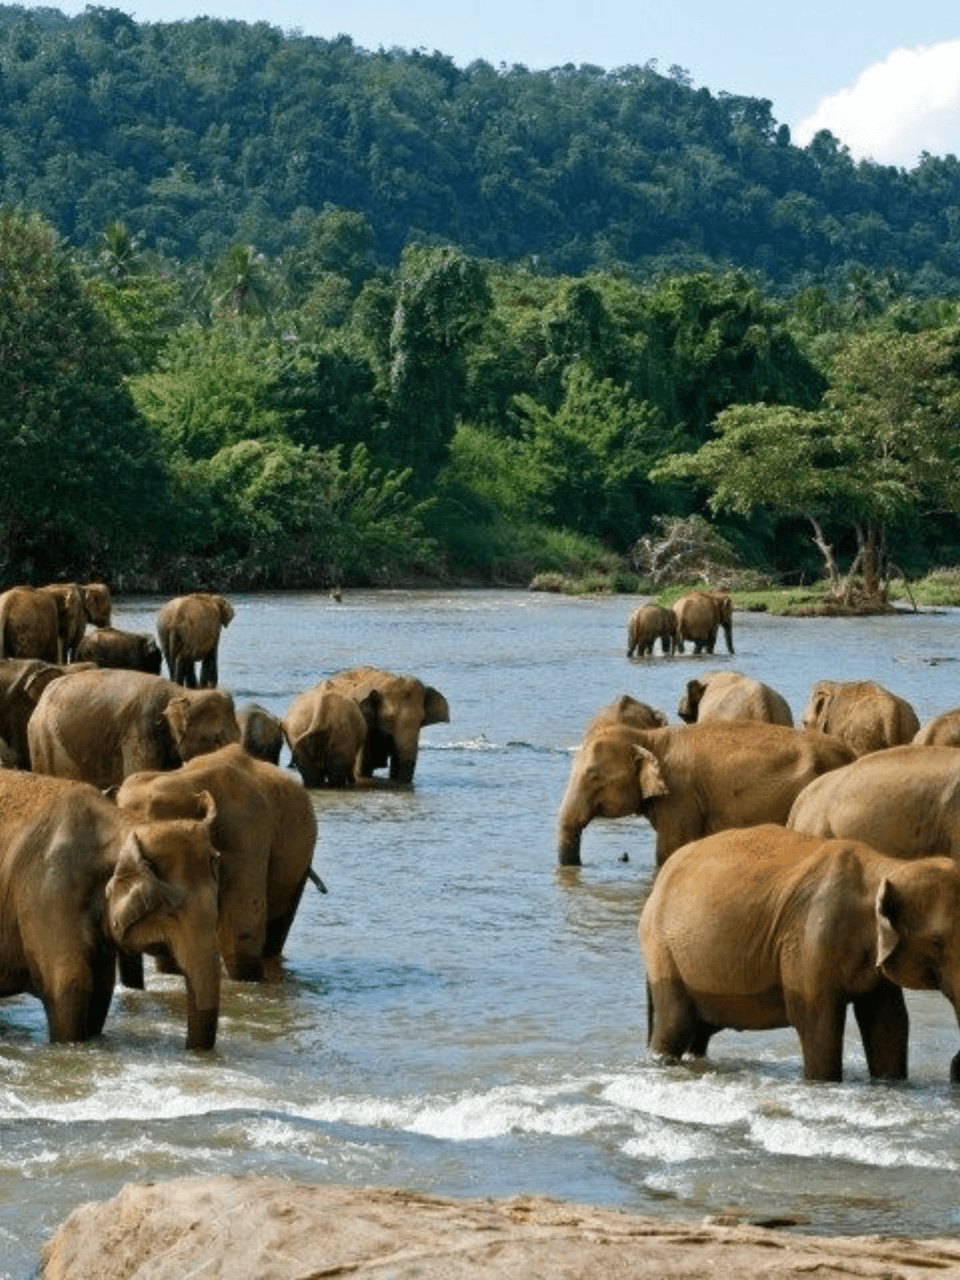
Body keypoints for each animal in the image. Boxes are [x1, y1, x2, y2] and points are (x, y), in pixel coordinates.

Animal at [556, 719, 854, 866]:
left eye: (593, 776)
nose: (577, 866)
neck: (649, 737)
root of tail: (851, 754)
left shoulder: (680, 795)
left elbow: (669, 850)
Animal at [641, 823, 960, 1082]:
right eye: (937, 943)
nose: (955, 1066)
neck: (887, 866)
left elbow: (888, 1025)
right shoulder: (809, 937)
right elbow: (818, 1023)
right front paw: (822, 1083)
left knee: (699, 1030)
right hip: (661, 946)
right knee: (675, 1024)